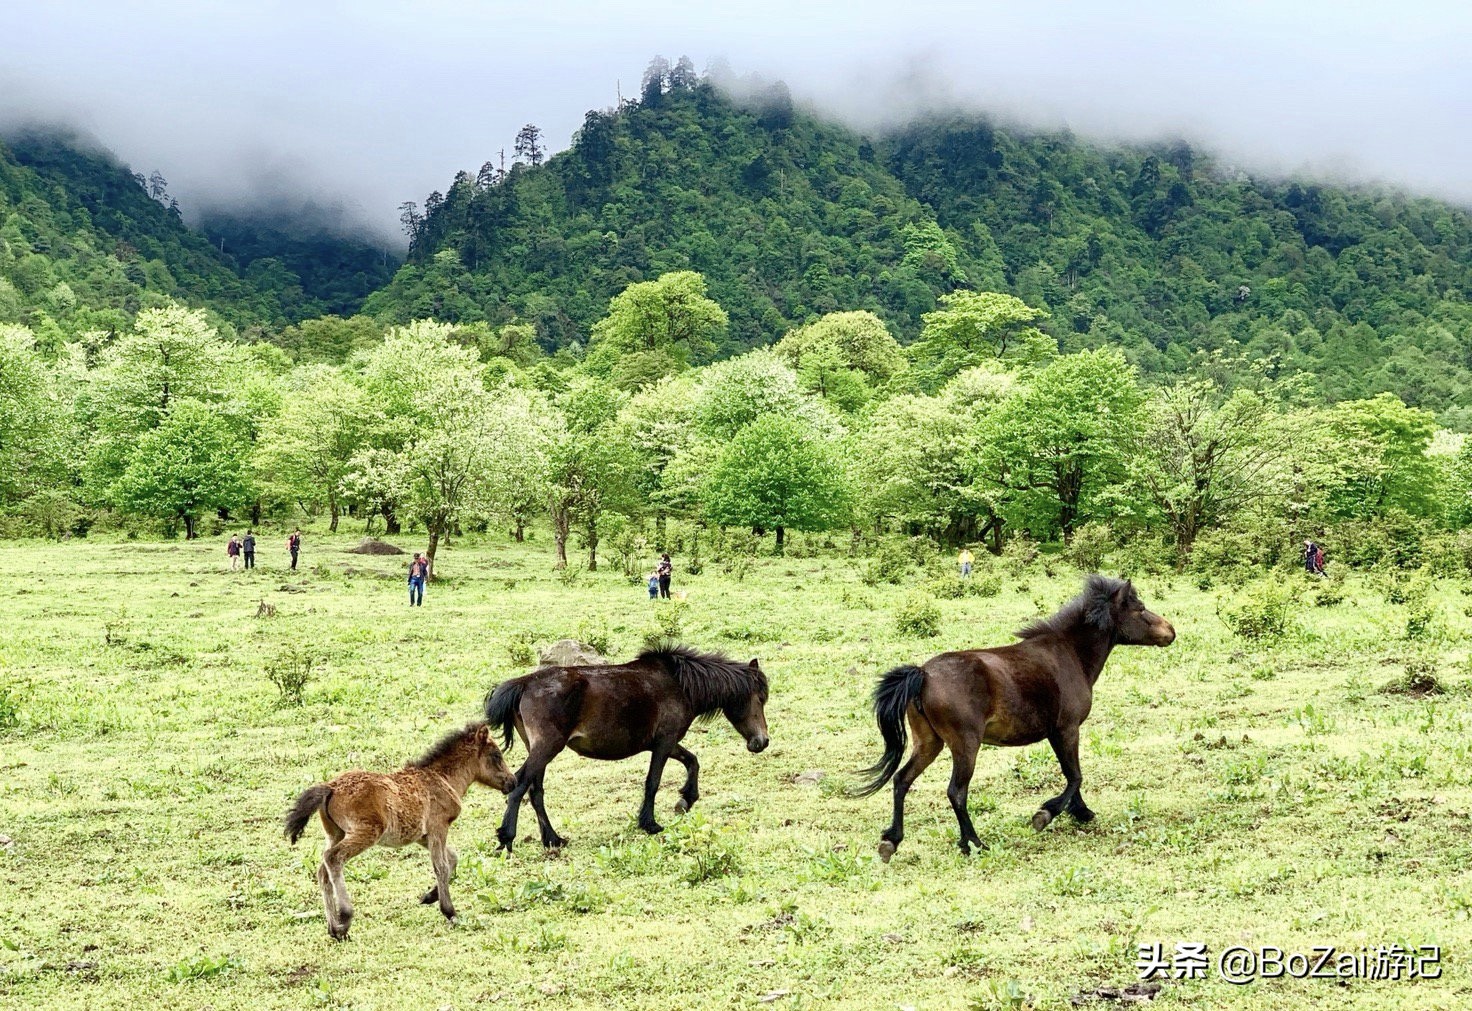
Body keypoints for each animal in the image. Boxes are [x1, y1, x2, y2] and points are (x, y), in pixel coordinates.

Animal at [284, 724, 515, 935]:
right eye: (496, 755)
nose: (512, 782)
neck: (441, 777)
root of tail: (330, 787)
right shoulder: (438, 827)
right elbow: (440, 865)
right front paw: (449, 911)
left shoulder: (422, 835)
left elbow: (452, 858)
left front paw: (430, 896)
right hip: (365, 833)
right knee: (333, 858)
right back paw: (345, 917)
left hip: (335, 833)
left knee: (322, 869)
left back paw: (335, 929)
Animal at [482, 644, 771, 847]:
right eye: (759, 698)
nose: (762, 742)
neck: (679, 684)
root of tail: (525, 683)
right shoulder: (664, 743)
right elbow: (653, 782)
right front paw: (650, 823)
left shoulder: (666, 743)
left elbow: (693, 761)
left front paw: (685, 800)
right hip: (546, 748)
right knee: (520, 783)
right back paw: (507, 837)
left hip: (539, 750)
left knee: (536, 791)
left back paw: (552, 839)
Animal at [853, 576, 1171, 859]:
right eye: (1140, 608)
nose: (1171, 631)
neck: (1070, 654)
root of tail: (923, 675)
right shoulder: (1067, 729)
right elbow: (1075, 775)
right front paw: (1046, 814)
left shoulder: (1057, 733)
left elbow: (1072, 774)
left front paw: (1081, 812)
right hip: (965, 745)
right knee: (956, 791)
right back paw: (974, 843)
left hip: (929, 743)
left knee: (901, 780)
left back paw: (891, 841)